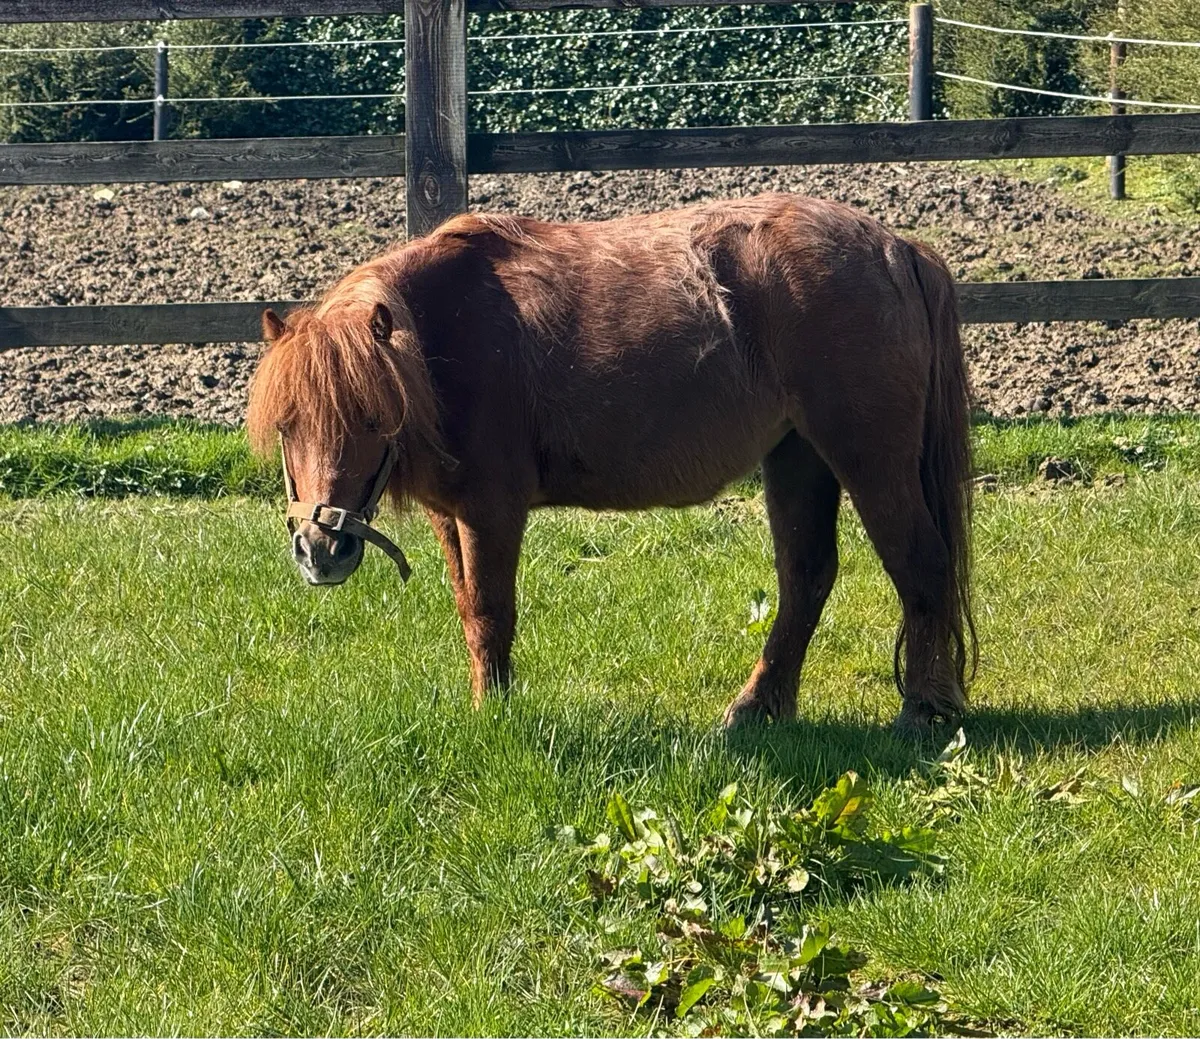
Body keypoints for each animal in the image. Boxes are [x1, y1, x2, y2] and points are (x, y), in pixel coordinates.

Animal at [246, 193, 976, 733]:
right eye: (287, 426)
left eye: (373, 419)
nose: (321, 548)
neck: (446, 337)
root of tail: (897, 248)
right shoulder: (449, 516)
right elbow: (468, 611)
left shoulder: (491, 511)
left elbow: (490, 610)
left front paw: (494, 718)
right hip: (798, 457)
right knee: (807, 579)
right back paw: (756, 708)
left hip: (867, 457)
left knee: (920, 563)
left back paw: (922, 710)